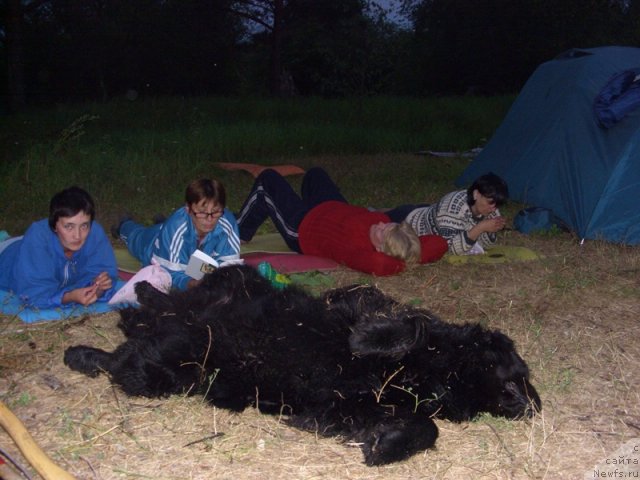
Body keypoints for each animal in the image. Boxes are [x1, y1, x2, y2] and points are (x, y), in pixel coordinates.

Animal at [65, 264, 540, 466]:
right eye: (518, 376)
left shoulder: (352, 404)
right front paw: (367, 339)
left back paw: (95, 343)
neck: (434, 376)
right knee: (156, 319)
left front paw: (385, 446)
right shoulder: (360, 303)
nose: (533, 405)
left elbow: (426, 427)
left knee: (129, 349)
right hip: (230, 286)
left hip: (170, 365)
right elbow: (407, 324)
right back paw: (131, 302)